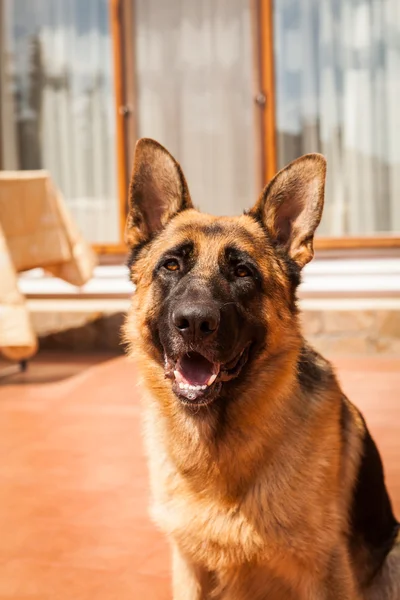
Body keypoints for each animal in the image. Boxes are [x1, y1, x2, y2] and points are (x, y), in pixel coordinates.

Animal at [123, 138, 398, 596]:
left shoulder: (325, 572)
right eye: (171, 265)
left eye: (242, 272)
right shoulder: (188, 568)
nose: (194, 322)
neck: (217, 447)